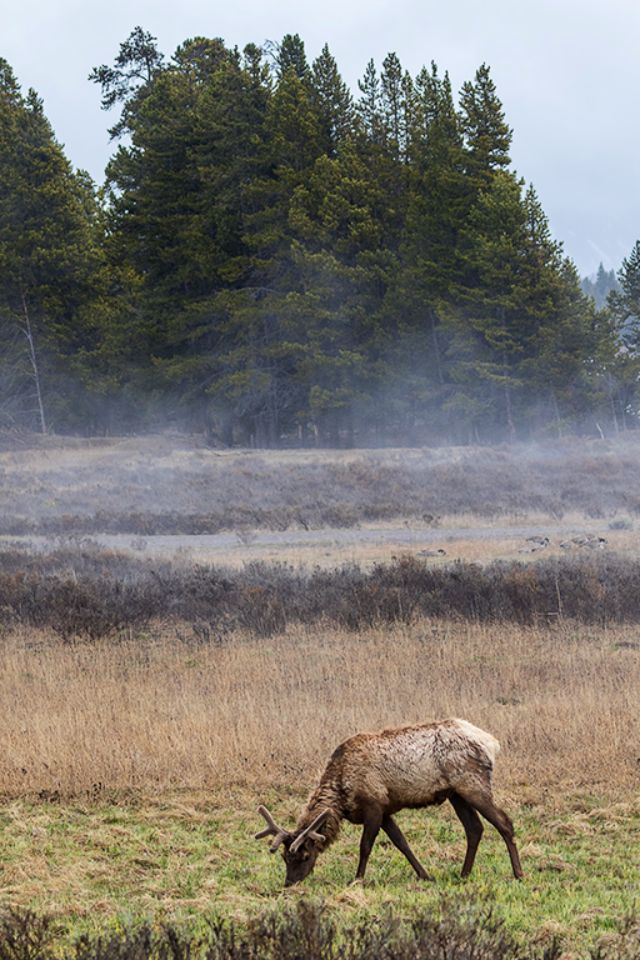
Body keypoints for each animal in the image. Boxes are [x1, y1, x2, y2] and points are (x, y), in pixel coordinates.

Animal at [255, 718, 523, 886]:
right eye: (284, 858)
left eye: (305, 856)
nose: (289, 883)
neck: (343, 795)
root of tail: (492, 743)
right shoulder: (385, 811)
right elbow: (402, 843)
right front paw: (425, 875)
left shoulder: (374, 805)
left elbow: (365, 846)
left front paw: (357, 879)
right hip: (456, 794)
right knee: (474, 828)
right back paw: (464, 874)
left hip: (473, 783)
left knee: (504, 823)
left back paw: (518, 874)